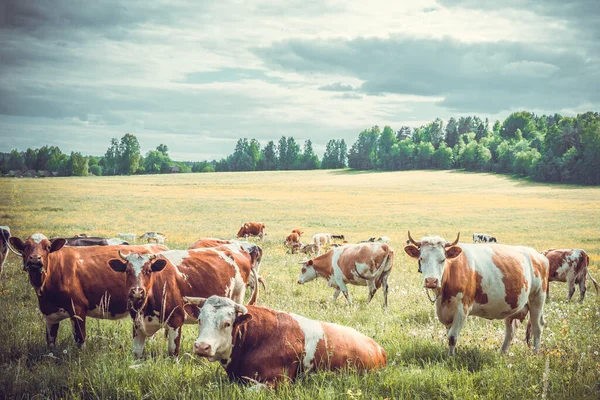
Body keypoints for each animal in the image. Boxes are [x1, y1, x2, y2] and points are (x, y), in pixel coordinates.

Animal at [7, 234, 166, 346]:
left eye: (47, 247)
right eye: (26, 246)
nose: (35, 259)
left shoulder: (77, 309)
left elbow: (80, 339)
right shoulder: (50, 314)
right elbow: (50, 341)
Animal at [108, 245, 258, 358]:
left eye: (149, 270)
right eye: (127, 271)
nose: (137, 291)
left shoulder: (176, 320)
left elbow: (172, 352)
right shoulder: (137, 324)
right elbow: (136, 353)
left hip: (238, 297)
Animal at [404, 231, 548, 356]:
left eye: (443, 259)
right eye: (421, 258)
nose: (431, 281)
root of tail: (538, 255)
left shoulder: (462, 310)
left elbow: (452, 337)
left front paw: (450, 358)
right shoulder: (446, 311)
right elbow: (449, 335)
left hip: (537, 299)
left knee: (537, 326)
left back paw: (535, 352)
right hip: (512, 304)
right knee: (510, 330)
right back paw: (502, 353)